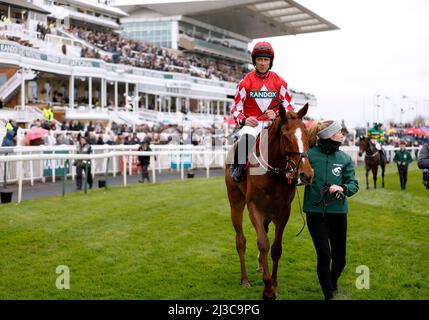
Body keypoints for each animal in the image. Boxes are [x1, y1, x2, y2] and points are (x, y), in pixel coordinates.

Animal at [226, 103, 312, 300]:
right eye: (285, 136)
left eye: (306, 134)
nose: (306, 174)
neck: (273, 173)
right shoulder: (254, 208)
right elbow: (263, 243)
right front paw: (267, 289)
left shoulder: (283, 211)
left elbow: (276, 248)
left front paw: (274, 284)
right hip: (235, 202)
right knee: (240, 240)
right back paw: (245, 279)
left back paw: (259, 265)